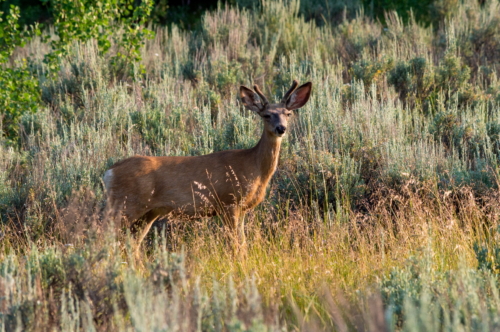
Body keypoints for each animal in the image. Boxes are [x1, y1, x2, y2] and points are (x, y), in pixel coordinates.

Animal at [103, 81, 310, 252]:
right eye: (266, 115)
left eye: (288, 114)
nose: (281, 128)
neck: (254, 167)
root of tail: (109, 173)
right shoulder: (228, 202)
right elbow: (236, 244)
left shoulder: (241, 208)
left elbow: (242, 243)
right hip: (126, 205)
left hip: (147, 213)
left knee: (132, 244)